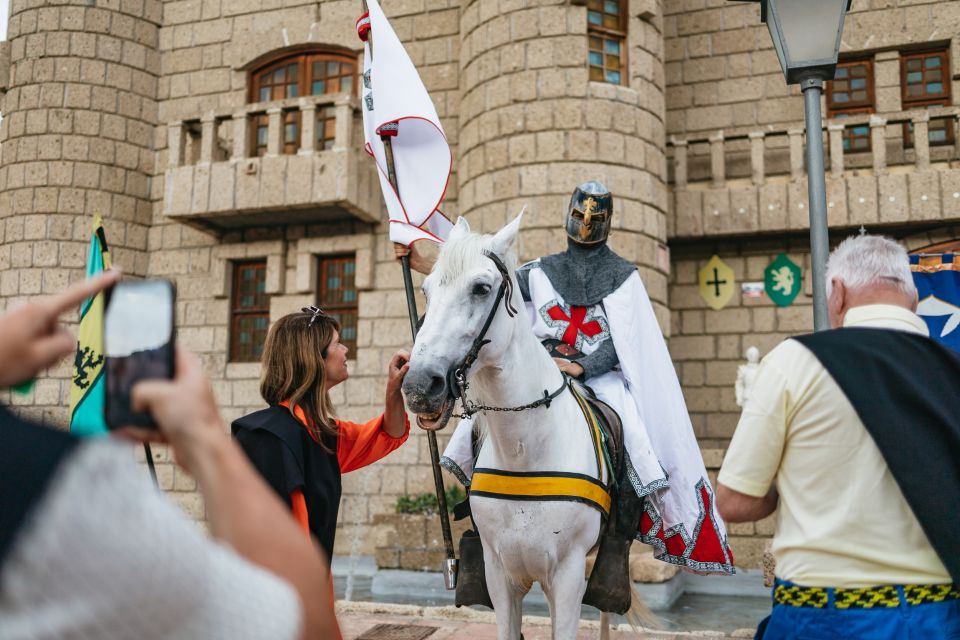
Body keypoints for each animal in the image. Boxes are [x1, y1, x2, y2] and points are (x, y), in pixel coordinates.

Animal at [404, 215, 644, 640]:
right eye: (427, 290)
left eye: (482, 288)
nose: (419, 386)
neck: (525, 451)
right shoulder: (500, 574)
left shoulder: (567, 575)